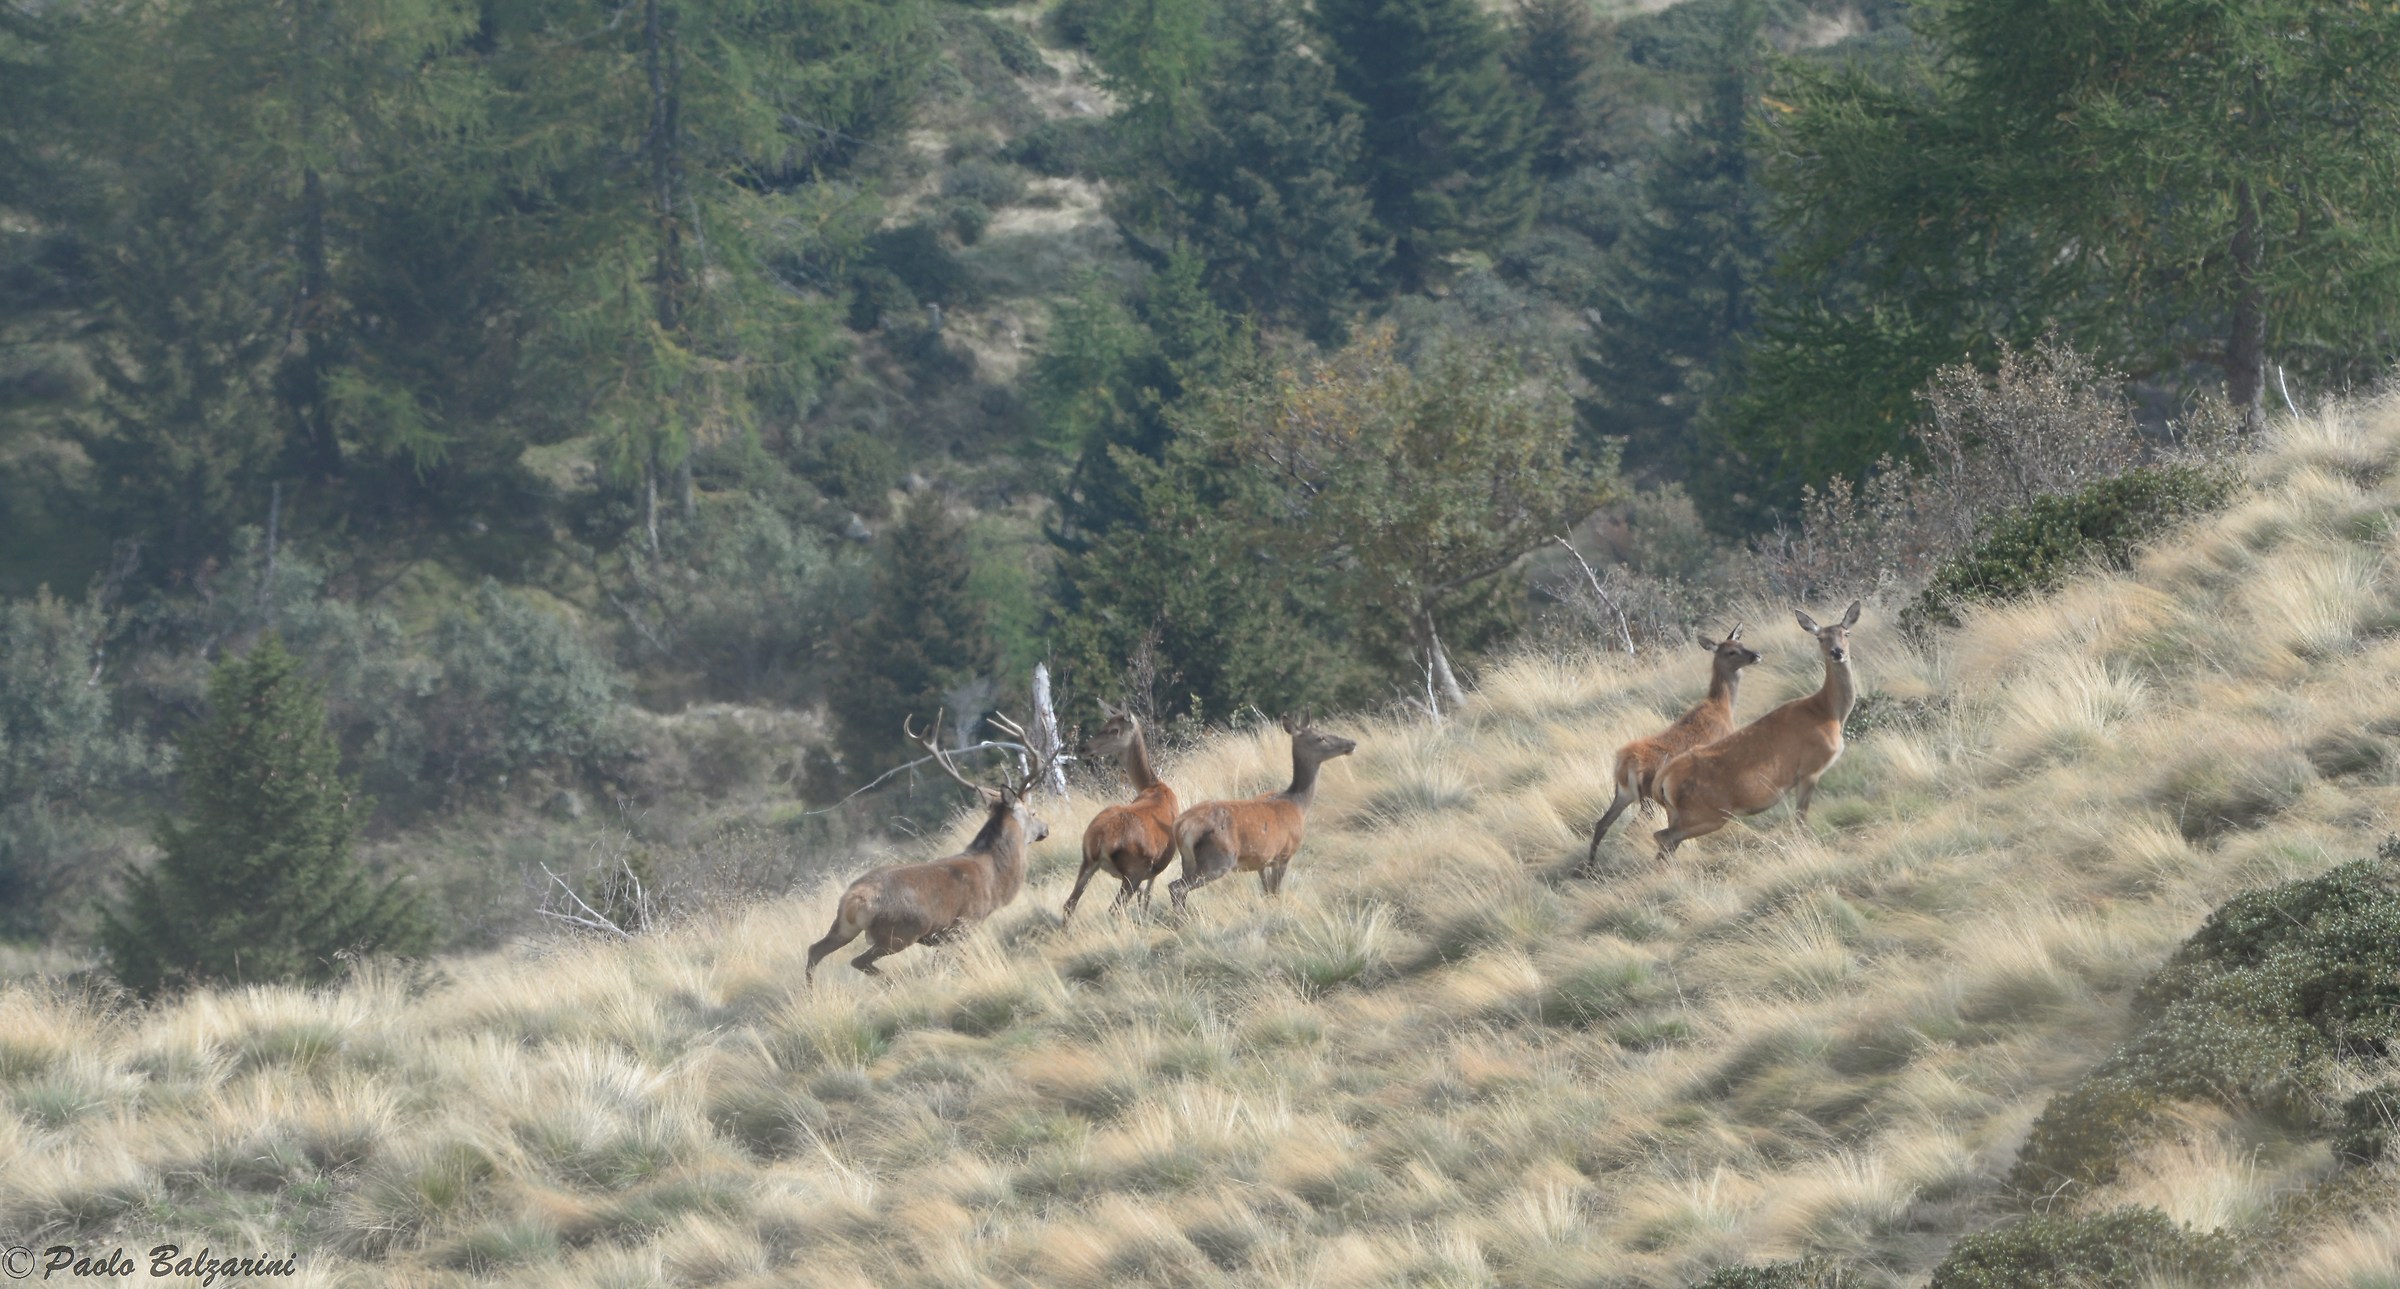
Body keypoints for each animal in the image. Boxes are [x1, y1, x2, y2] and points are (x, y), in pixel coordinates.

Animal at [805, 711, 1055, 983]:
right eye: (1033, 812)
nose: (1045, 829)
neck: (994, 878)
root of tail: (854, 899)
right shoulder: (965, 923)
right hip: (900, 931)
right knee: (858, 960)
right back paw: (893, 982)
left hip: (843, 926)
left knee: (815, 949)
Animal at [1061, 702, 1180, 921]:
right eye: (1104, 725)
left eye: (1114, 729)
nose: (1083, 748)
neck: (1154, 786)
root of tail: (1099, 840)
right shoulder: (1155, 867)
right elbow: (1148, 895)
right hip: (1134, 869)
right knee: (1114, 909)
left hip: (1087, 862)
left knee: (1069, 904)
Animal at [1166, 715, 1358, 916]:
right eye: (1320, 737)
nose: (1351, 743)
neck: (1298, 805)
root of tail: (1181, 826)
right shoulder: (1284, 854)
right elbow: (1275, 892)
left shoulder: (1262, 861)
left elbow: (1266, 893)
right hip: (1219, 858)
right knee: (1177, 887)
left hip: (1188, 860)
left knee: (1179, 887)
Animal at [1585, 624, 1763, 868]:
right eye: (1731, 652)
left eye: (1742, 644)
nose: (1757, 655)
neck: (1722, 707)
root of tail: (1626, 765)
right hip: (1648, 797)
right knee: (1635, 829)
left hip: (1623, 793)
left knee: (1602, 824)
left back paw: (1588, 868)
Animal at [1649, 601, 1860, 858]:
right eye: (1820, 638)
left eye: (1846, 633)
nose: (1837, 652)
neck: (1828, 712)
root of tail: (1662, 781)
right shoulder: (1810, 769)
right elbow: (1801, 818)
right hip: (1707, 813)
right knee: (1663, 836)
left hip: (1679, 813)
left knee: (1667, 842)